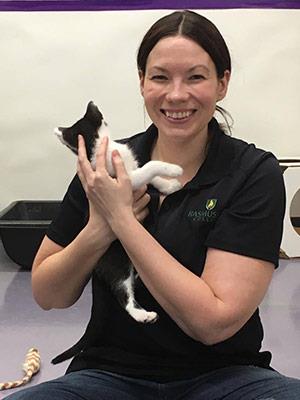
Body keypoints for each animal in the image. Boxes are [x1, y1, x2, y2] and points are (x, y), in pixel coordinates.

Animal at [54, 101, 183, 324]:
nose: (92, 103)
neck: (98, 149)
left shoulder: (132, 170)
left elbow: (150, 174)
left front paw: (169, 185)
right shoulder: (126, 179)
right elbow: (150, 166)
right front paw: (173, 170)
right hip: (118, 263)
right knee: (123, 294)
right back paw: (144, 315)